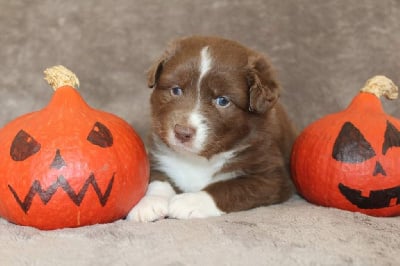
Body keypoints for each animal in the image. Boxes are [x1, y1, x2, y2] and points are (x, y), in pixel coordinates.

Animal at [127, 35, 296, 222]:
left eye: (222, 101)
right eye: (176, 90)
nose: (182, 132)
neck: (198, 159)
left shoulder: (271, 176)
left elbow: (230, 186)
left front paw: (189, 202)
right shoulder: (158, 154)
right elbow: (157, 177)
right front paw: (149, 203)